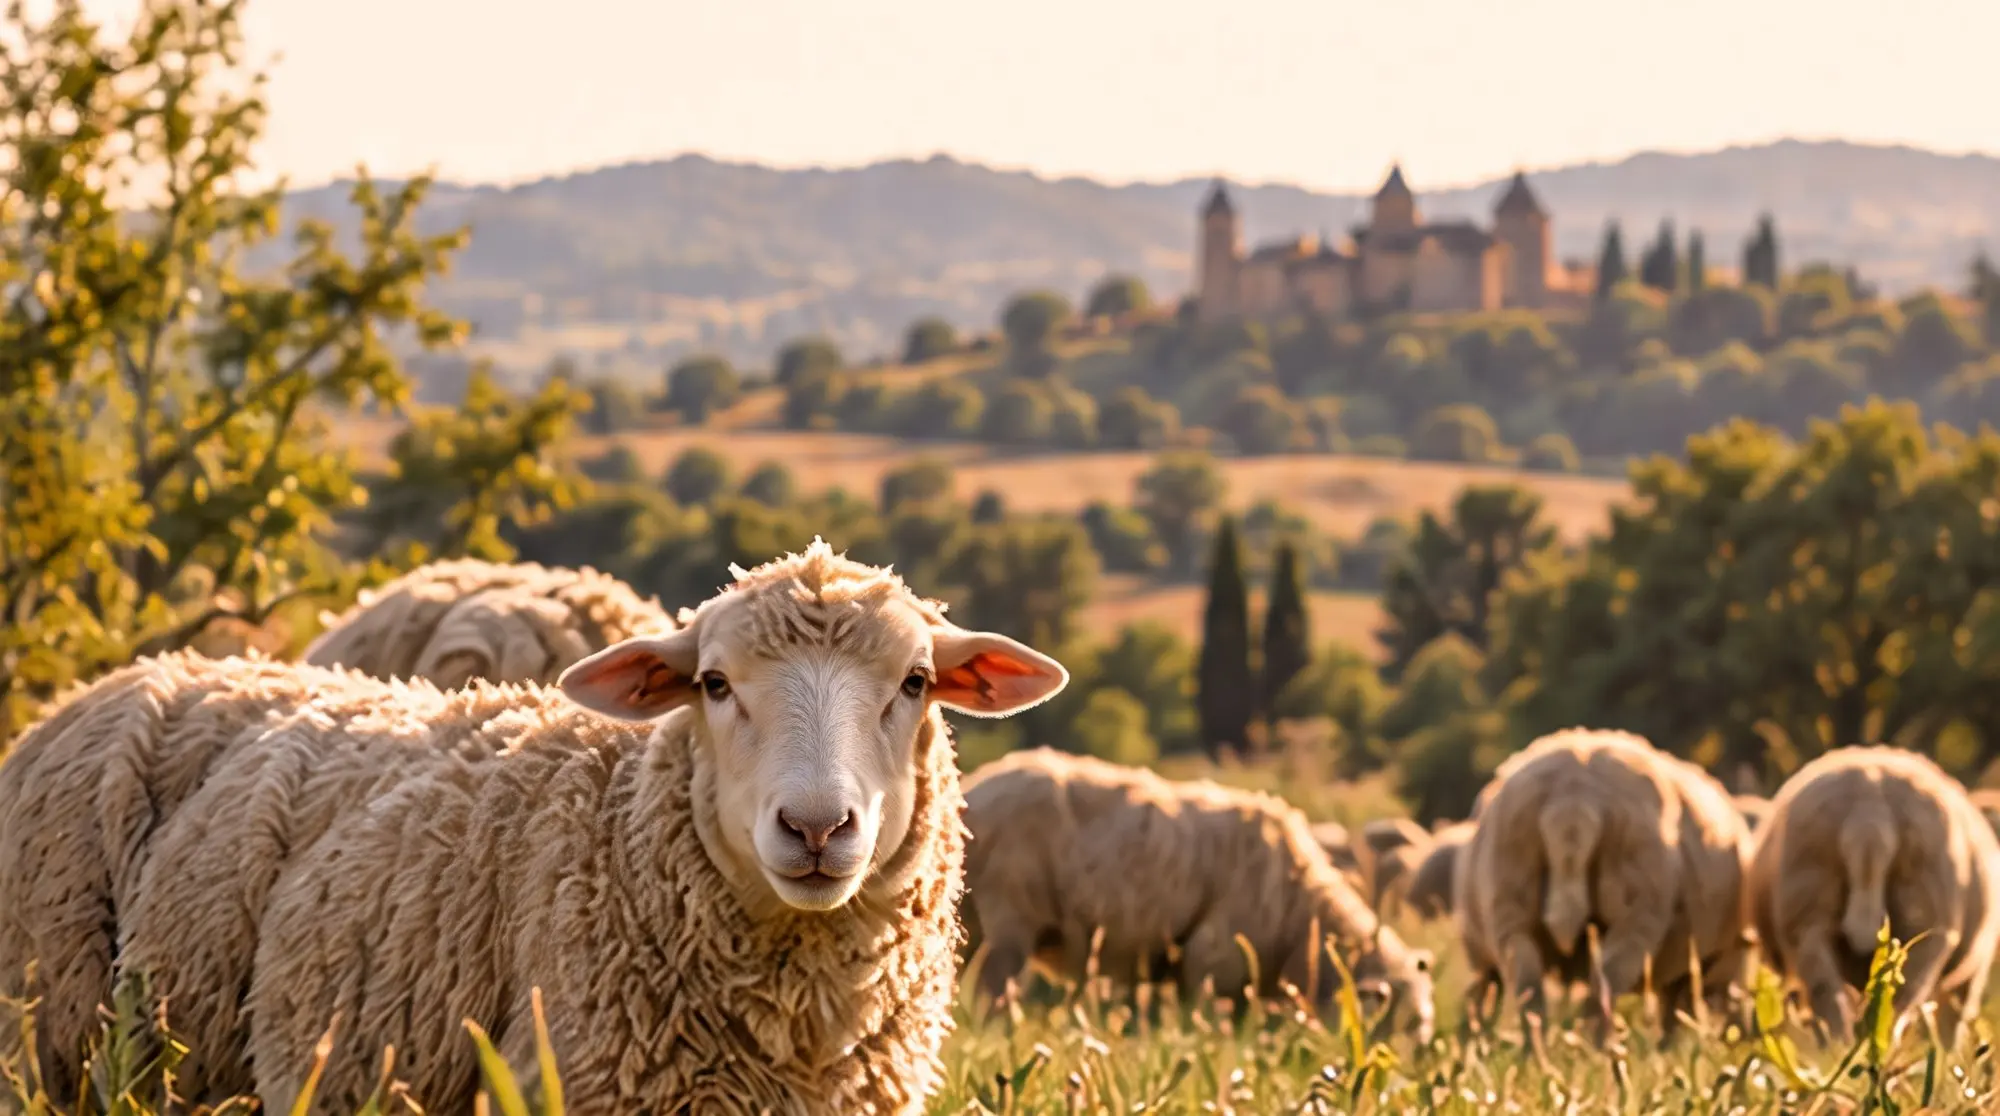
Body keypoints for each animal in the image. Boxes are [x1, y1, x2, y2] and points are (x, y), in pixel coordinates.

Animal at [960, 748, 1435, 1044]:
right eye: (1400, 1022)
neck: (1303, 921)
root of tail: (974, 792)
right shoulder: (1214, 958)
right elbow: (1203, 1020)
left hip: (967, 917)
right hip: (1010, 913)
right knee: (993, 989)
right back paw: (1001, 1032)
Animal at [1455, 728, 1752, 1039]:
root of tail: (1574, 798)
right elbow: (1677, 1016)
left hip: (1510, 905)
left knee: (1530, 993)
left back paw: (1537, 1047)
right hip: (1636, 907)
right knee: (1603, 991)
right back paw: (1596, 1046)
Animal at [1748, 746, 2000, 1049]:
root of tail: (1869, 812)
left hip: (1807, 910)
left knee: (1827, 994)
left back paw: (1841, 1049)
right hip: (1924, 922)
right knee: (1898, 1001)